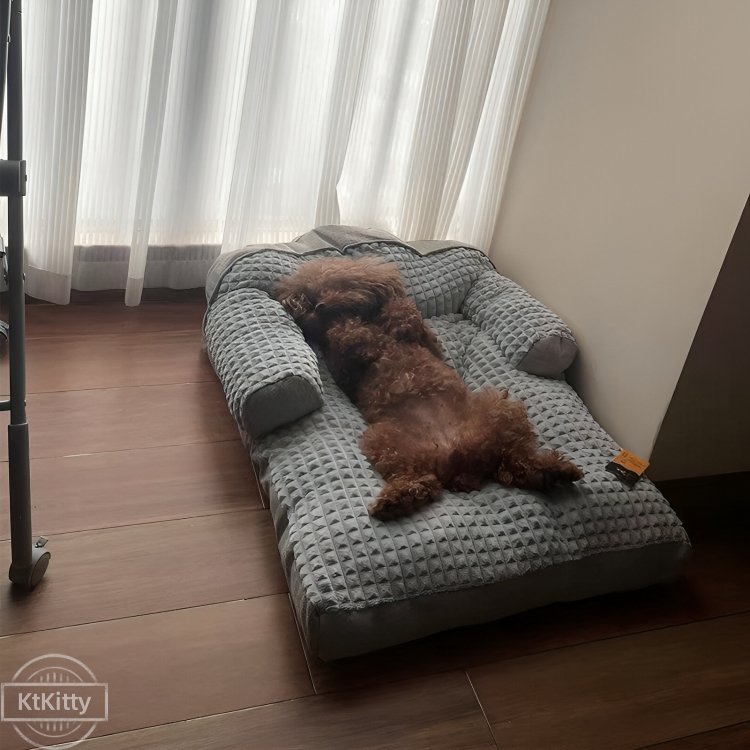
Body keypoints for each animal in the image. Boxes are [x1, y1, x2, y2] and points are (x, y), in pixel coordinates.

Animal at [275, 256, 583, 520]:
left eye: (336, 285)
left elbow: (405, 312)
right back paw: (396, 500)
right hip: (387, 441)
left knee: (515, 462)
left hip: (500, 409)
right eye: (311, 299)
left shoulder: (428, 343)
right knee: (427, 481)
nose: (320, 307)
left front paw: (393, 315)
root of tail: (458, 460)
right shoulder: (345, 365)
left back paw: (554, 472)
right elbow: (350, 336)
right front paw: (351, 328)